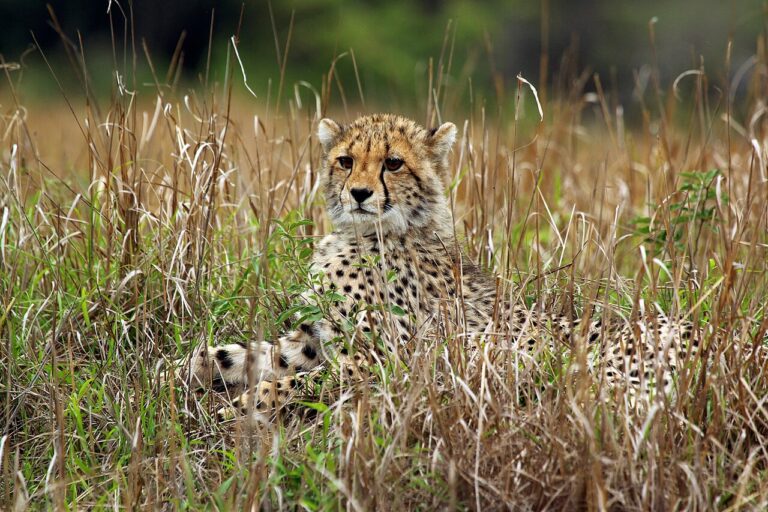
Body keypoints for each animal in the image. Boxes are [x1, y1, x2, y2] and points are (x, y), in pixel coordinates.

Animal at [178, 113, 702, 421]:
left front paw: (245, 405)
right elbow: (238, 354)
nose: (359, 194)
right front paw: (179, 373)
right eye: (346, 161)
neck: (368, 233)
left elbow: (292, 384)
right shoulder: (309, 340)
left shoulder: (382, 363)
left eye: (393, 163)